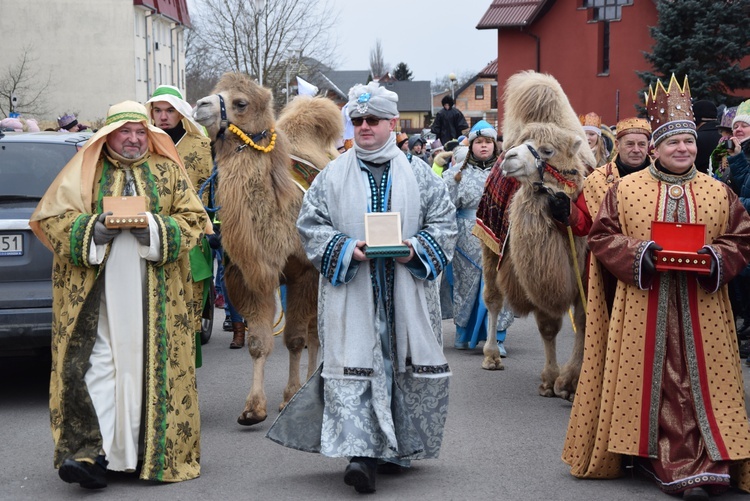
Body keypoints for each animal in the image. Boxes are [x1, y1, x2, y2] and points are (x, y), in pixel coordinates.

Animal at [195, 72, 346, 424]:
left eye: (240, 102)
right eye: (214, 92)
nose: (199, 105)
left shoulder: (304, 272)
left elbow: (295, 339)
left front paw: (290, 397)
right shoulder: (249, 276)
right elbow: (258, 343)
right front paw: (253, 408)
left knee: (315, 333)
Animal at [478, 71, 596, 398]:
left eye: (547, 150)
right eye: (523, 142)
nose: (509, 157)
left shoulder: (585, 269)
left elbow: (584, 321)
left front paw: (571, 382)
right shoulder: (542, 269)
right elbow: (548, 326)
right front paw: (551, 379)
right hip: (490, 246)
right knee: (493, 299)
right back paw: (491, 356)